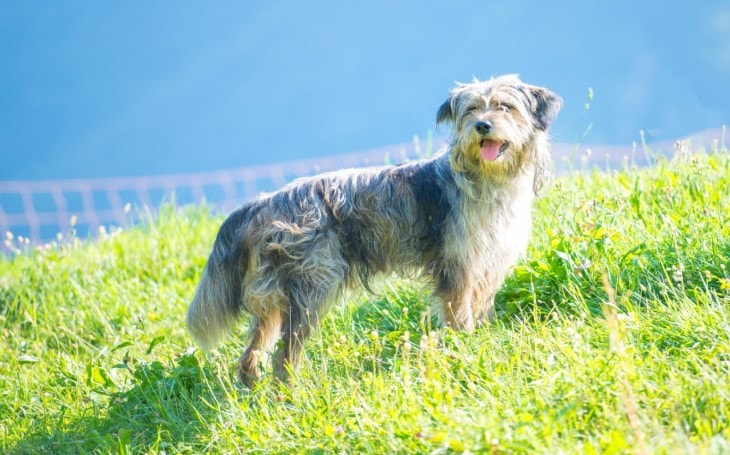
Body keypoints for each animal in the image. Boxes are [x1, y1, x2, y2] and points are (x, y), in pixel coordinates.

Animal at [185, 75, 560, 388]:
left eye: (505, 106)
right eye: (471, 109)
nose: (482, 125)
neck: (487, 179)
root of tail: (262, 203)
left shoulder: (484, 266)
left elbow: (480, 310)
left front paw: (481, 341)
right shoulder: (457, 268)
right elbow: (460, 318)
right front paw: (462, 351)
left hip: (275, 296)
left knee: (253, 351)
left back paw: (252, 390)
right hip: (312, 288)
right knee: (284, 354)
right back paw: (289, 395)